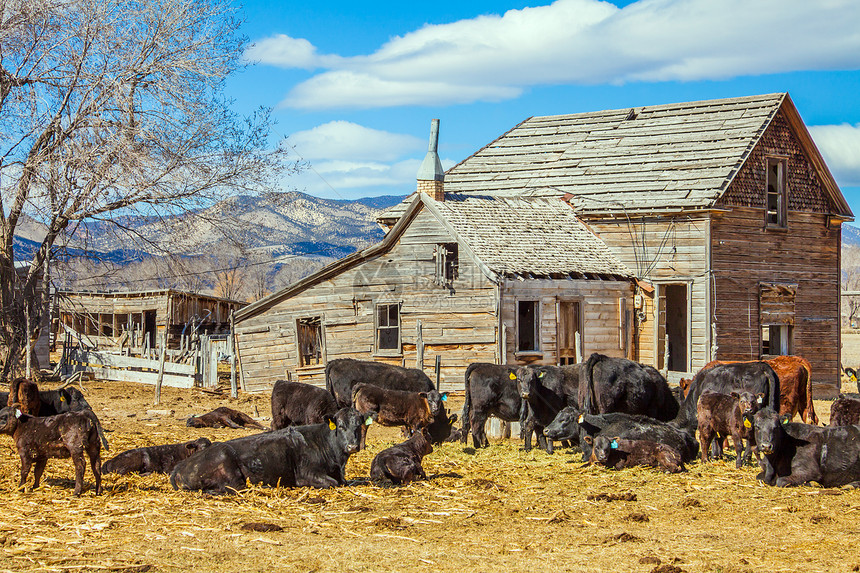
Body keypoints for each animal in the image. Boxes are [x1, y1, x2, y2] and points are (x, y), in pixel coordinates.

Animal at [171, 406, 370, 492]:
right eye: (340, 426)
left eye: (358, 425)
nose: (352, 446)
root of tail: (179, 467)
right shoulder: (307, 473)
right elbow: (333, 483)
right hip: (227, 464)